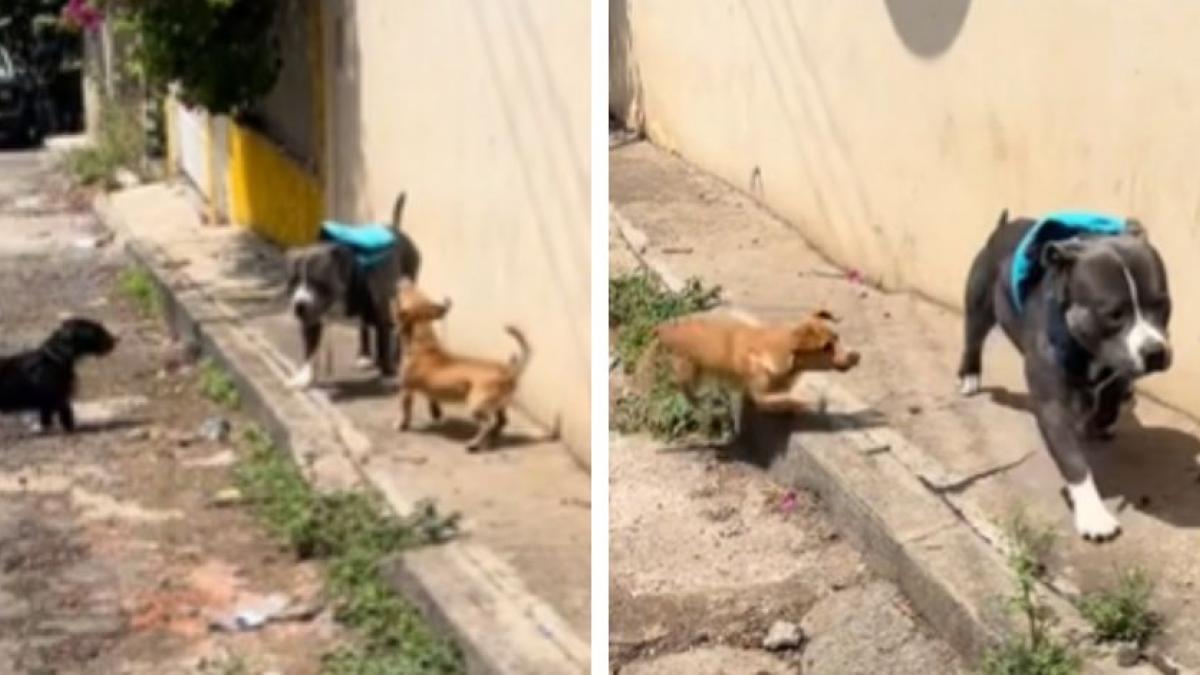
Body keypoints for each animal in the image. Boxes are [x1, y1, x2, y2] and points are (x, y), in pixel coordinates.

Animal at [393, 281, 530, 449]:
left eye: (406, 295)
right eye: (420, 295)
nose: (403, 281)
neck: (423, 341)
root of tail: (509, 371)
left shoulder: (406, 388)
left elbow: (405, 410)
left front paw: (401, 425)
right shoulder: (427, 388)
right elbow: (432, 398)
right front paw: (436, 413)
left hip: (476, 404)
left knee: (487, 424)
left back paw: (474, 444)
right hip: (500, 404)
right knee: (501, 422)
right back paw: (491, 438)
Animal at [652, 309, 859, 410]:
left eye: (838, 338)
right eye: (826, 347)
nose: (856, 356)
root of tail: (664, 329)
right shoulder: (761, 396)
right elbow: (786, 401)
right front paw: (810, 404)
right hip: (688, 371)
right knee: (685, 387)